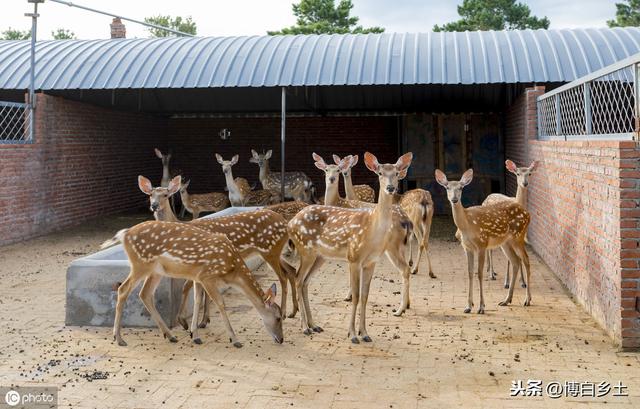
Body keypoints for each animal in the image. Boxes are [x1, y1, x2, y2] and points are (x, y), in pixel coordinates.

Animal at [102, 222, 282, 346]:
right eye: (279, 317)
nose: (281, 339)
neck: (232, 270)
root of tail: (124, 234)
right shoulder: (207, 275)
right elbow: (220, 303)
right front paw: (235, 339)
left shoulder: (198, 277)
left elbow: (197, 301)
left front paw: (194, 335)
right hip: (140, 264)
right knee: (123, 289)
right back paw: (118, 338)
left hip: (156, 270)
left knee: (144, 293)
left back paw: (170, 335)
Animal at [290, 151, 416, 342]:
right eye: (380, 173)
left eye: (396, 173)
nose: (390, 188)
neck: (372, 230)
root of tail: (290, 223)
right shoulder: (354, 257)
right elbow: (356, 296)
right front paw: (352, 334)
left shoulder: (371, 262)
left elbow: (364, 296)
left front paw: (365, 333)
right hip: (306, 249)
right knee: (298, 279)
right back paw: (305, 327)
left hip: (321, 256)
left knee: (304, 282)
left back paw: (314, 325)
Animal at [432, 167, 532, 310]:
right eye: (447, 187)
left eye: (461, 188)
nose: (454, 199)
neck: (467, 224)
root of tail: (528, 214)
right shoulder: (467, 247)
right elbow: (470, 273)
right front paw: (468, 306)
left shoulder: (482, 244)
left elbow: (479, 273)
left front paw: (481, 307)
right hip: (506, 242)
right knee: (516, 262)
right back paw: (506, 300)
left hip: (518, 235)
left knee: (526, 260)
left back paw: (527, 299)